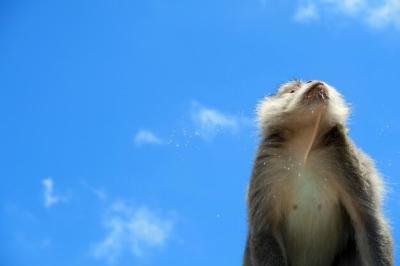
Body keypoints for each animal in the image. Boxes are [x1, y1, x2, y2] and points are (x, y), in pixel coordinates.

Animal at [244, 80, 394, 264]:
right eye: (292, 90)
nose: (313, 81)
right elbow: (265, 231)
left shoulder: (343, 155)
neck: (306, 144)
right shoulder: (267, 162)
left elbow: (367, 220)